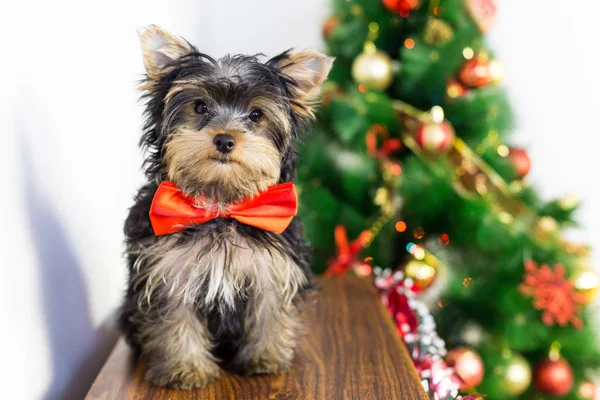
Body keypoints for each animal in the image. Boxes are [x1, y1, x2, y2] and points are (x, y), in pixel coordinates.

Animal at [117, 26, 332, 390]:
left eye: (256, 115)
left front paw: (266, 358)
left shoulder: (272, 269)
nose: (225, 139)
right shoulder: (167, 271)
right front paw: (185, 368)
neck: (221, 205)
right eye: (199, 106)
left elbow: (270, 312)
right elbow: (175, 319)